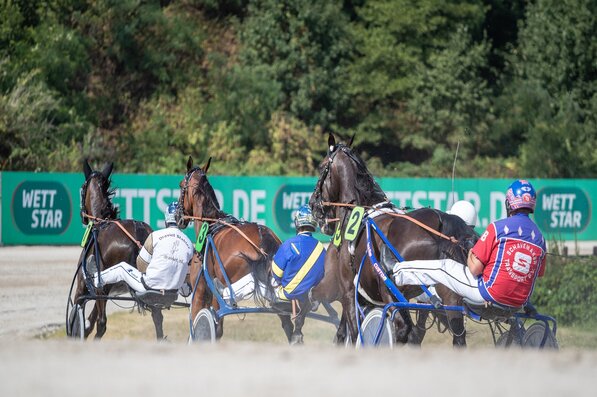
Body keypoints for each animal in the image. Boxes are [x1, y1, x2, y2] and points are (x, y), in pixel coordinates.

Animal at [175, 156, 300, 342]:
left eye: (181, 184)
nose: (177, 215)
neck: (210, 224)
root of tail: (263, 236)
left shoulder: (201, 289)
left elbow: (199, 321)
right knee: (287, 323)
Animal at [310, 133, 478, 344]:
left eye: (321, 167)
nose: (312, 204)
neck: (361, 209)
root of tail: (439, 221)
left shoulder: (348, 291)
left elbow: (355, 333)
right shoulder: (364, 296)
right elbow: (342, 332)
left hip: (392, 291)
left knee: (404, 330)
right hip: (448, 292)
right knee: (457, 335)